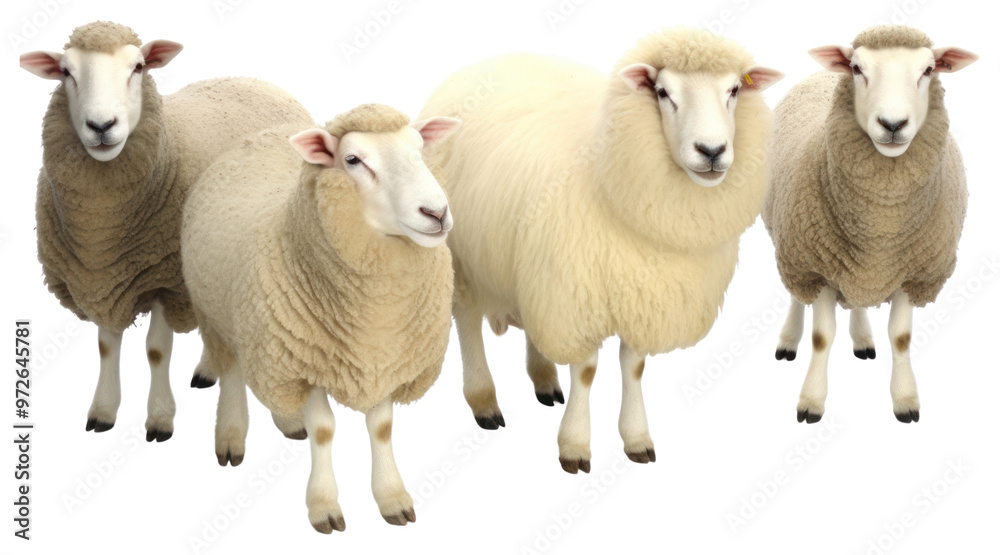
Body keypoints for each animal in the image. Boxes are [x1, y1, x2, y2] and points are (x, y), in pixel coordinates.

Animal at [19, 21, 314, 441]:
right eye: (66, 72)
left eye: (139, 67)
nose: (101, 126)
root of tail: (258, 80)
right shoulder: (100, 275)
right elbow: (106, 346)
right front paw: (103, 411)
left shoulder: (166, 279)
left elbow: (156, 350)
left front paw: (159, 418)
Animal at [181, 104, 461, 532]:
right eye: (353, 160)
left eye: (419, 148)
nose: (437, 212)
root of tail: (267, 132)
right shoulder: (304, 363)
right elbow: (325, 430)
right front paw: (324, 505)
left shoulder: (386, 356)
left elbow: (381, 428)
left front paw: (392, 497)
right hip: (217, 313)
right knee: (231, 371)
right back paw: (230, 435)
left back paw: (287, 421)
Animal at [418, 27, 783, 473]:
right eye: (663, 92)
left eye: (734, 90)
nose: (711, 151)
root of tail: (480, 63)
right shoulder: (576, 296)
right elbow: (587, 370)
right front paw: (574, 445)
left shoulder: (638, 295)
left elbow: (634, 366)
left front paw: (637, 438)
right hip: (464, 253)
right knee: (467, 321)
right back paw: (484, 401)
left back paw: (544, 380)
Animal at [762, 26, 977, 424]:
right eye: (857, 68)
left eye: (928, 69)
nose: (892, 125)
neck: (881, 226)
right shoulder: (818, 265)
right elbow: (821, 337)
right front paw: (811, 401)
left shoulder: (915, 272)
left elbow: (901, 338)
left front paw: (906, 400)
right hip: (791, 244)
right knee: (797, 296)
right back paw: (787, 340)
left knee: (857, 298)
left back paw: (862, 339)